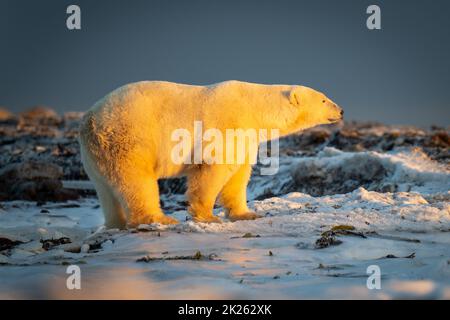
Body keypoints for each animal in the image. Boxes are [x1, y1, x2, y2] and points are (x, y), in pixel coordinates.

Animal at [79, 81, 342, 229]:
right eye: (323, 99)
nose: (340, 110)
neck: (254, 107)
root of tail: (88, 120)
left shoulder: (247, 135)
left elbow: (238, 175)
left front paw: (246, 213)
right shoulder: (225, 125)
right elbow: (213, 169)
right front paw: (207, 216)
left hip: (97, 155)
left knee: (107, 189)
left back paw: (115, 224)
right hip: (129, 138)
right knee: (137, 182)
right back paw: (159, 219)